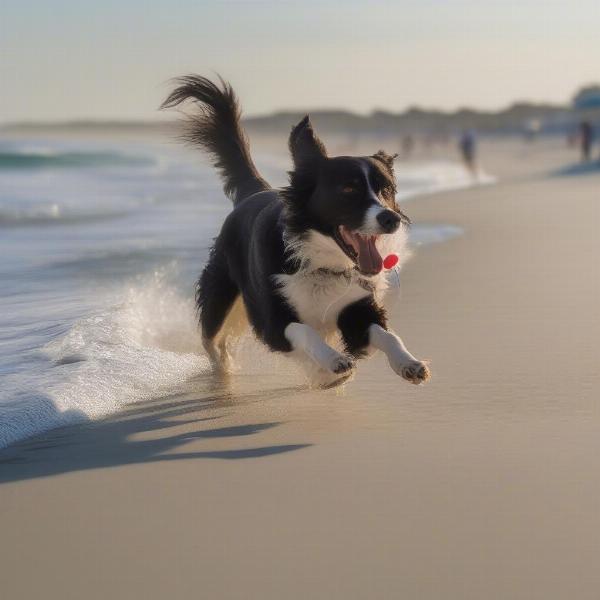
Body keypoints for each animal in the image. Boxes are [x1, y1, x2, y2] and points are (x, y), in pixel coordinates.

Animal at [162, 75, 428, 386]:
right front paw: (334, 362)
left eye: (386, 190)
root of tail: (255, 192)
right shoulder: (272, 317)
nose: (390, 219)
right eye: (348, 189)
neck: (321, 262)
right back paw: (224, 370)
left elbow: (387, 335)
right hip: (220, 295)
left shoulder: (357, 308)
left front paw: (408, 363)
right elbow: (304, 331)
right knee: (211, 338)